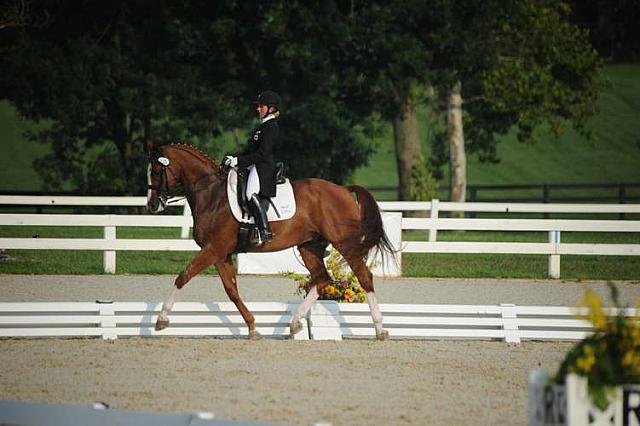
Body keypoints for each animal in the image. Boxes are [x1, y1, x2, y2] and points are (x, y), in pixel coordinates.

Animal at [146, 140, 396, 340]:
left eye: (157, 170)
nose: (152, 205)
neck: (212, 195)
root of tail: (343, 189)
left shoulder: (213, 249)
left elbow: (183, 276)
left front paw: (161, 319)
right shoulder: (221, 254)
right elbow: (231, 290)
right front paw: (253, 329)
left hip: (345, 244)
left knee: (364, 277)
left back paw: (380, 329)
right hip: (309, 246)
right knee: (322, 278)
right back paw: (295, 323)